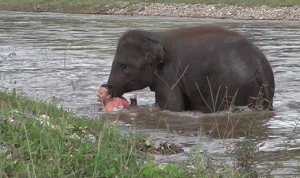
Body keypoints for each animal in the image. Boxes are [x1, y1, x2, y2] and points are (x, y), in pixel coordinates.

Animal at [106, 26, 274, 112]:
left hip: (230, 86)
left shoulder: (168, 74)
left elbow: (172, 106)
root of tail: (257, 64)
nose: (107, 88)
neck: (154, 35)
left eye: (125, 67)